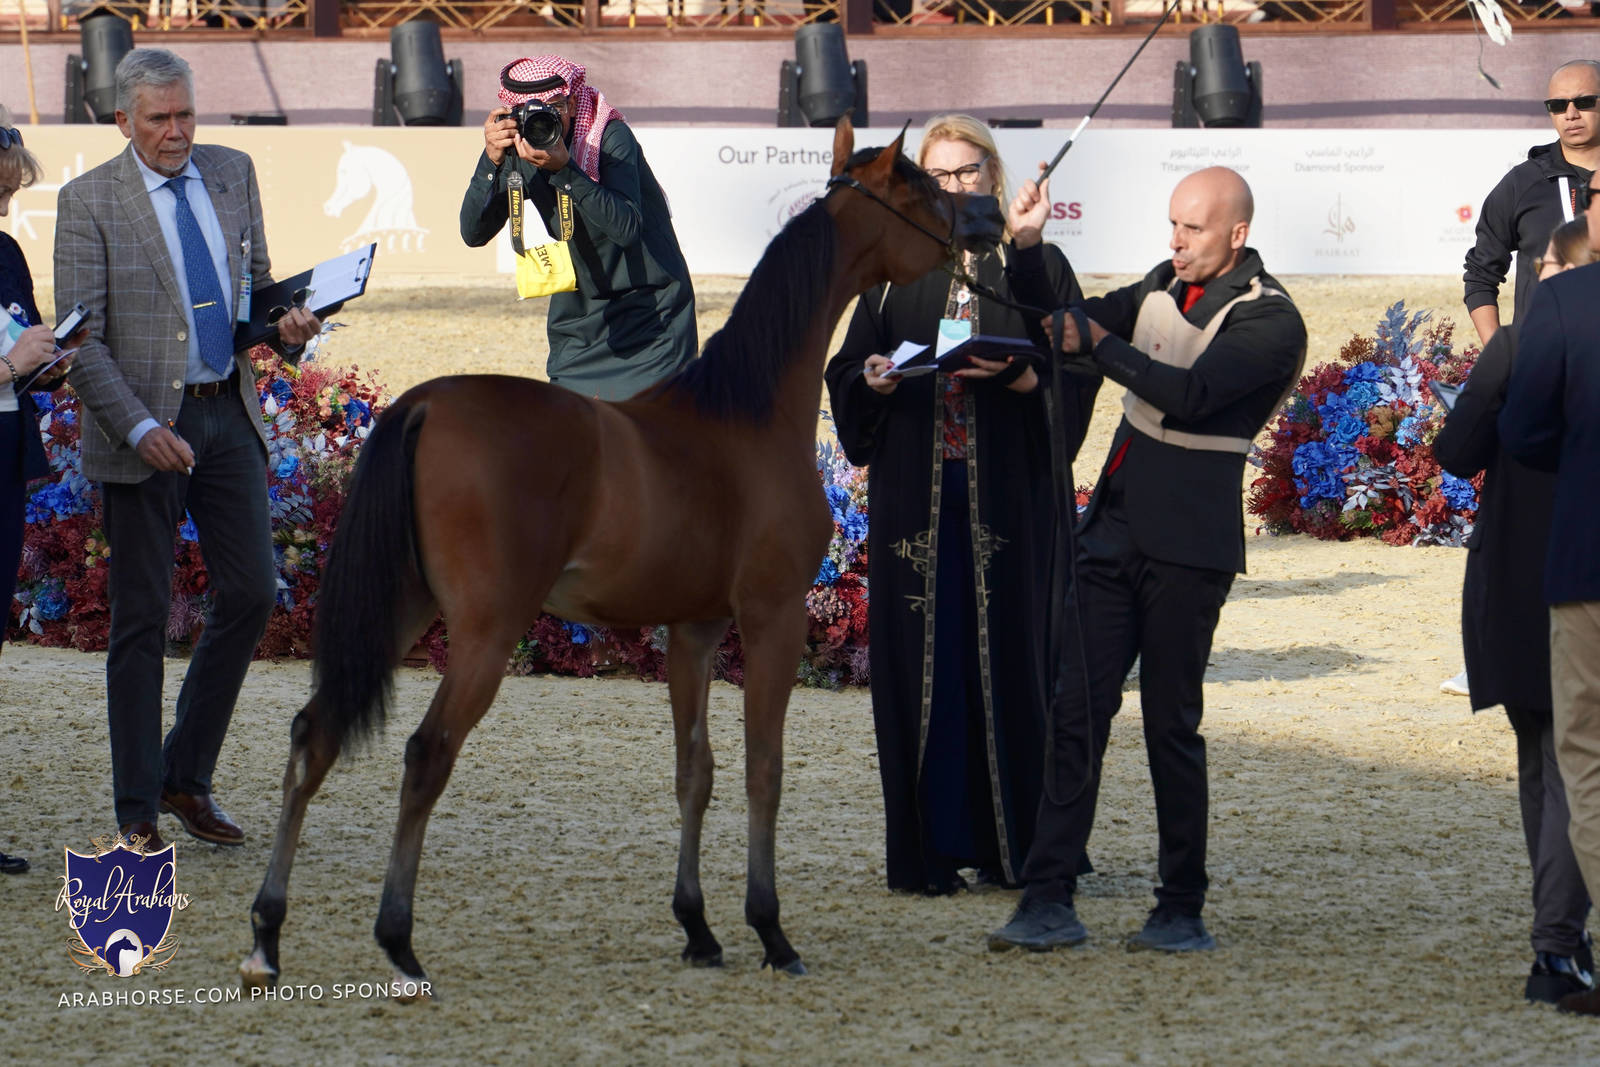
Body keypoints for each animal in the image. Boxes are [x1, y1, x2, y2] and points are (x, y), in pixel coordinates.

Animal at [239, 118, 1004, 994]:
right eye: (922, 187)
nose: (985, 219)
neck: (744, 416)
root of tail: (425, 403)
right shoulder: (771, 618)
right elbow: (764, 770)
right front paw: (771, 930)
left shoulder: (695, 629)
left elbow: (695, 771)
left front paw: (698, 926)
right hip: (484, 632)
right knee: (426, 754)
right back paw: (398, 941)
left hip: (400, 608)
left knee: (315, 734)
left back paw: (266, 934)